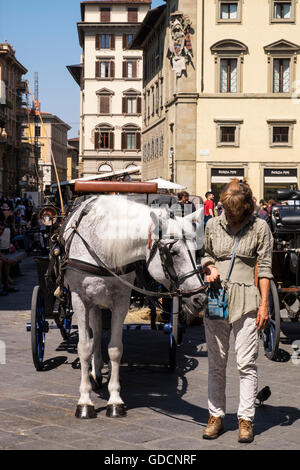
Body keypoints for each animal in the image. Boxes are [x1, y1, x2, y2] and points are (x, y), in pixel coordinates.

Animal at [61, 195, 205, 418]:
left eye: (197, 251)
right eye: (172, 252)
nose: (200, 298)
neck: (102, 246)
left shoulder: (121, 299)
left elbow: (115, 348)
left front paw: (115, 400)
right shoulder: (79, 299)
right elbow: (83, 348)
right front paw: (85, 401)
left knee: (98, 329)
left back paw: (99, 370)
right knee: (93, 334)